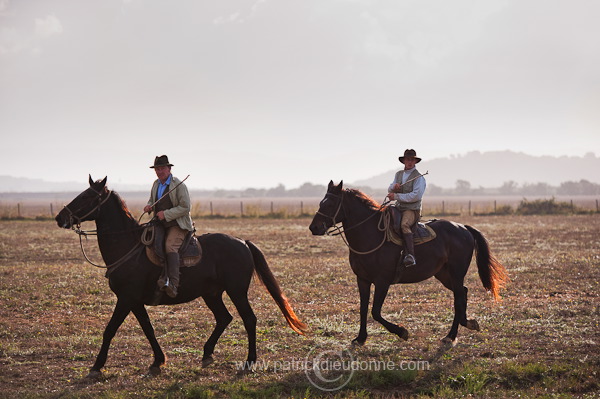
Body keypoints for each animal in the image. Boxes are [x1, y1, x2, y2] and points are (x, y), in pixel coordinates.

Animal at [54, 177, 308, 378]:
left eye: (88, 196)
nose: (59, 218)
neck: (128, 246)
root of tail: (242, 242)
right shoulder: (135, 302)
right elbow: (148, 329)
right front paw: (157, 361)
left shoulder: (126, 299)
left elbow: (110, 330)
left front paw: (96, 367)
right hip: (212, 294)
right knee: (224, 318)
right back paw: (207, 354)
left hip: (236, 291)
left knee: (249, 319)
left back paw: (249, 361)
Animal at [310, 181, 510, 346]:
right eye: (320, 203)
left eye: (330, 204)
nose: (314, 227)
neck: (372, 235)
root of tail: (463, 228)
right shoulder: (363, 280)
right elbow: (363, 309)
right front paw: (360, 338)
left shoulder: (382, 281)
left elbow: (375, 312)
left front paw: (402, 331)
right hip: (444, 275)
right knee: (463, 293)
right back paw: (462, 326)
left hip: (456, 273)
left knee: (459, 298)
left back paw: (453, 334)